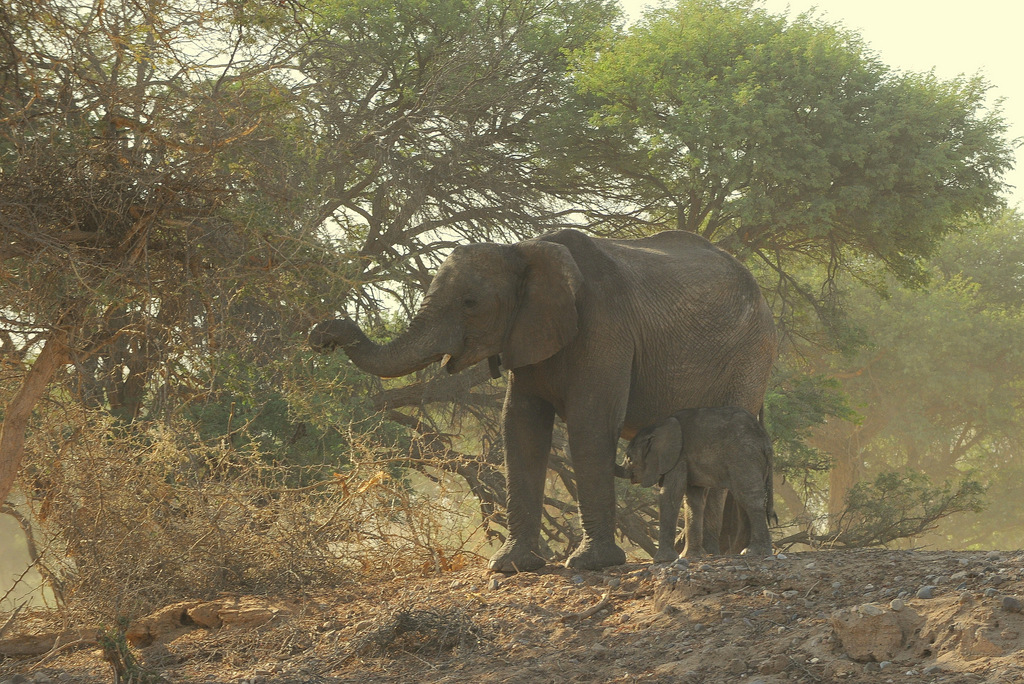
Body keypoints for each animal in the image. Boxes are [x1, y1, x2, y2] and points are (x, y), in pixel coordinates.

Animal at [614, 405, 774, 561]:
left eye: (629, 458)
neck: (659, 427)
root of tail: (765, 440)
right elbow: (693, 500)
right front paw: (690, 556)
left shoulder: (679, 457)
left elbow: (670, 494)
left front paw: (663, 560)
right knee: (743, 500)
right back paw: (745, 551)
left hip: (744, 456)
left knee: (749, 497)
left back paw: (754, 552)